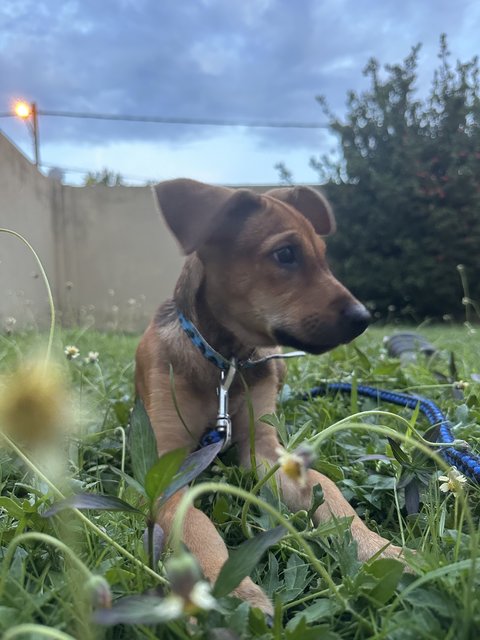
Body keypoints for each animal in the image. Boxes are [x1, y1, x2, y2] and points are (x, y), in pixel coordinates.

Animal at [134, 180, 402, 616]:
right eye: (286, 254)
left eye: (323, 256)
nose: (365, 319)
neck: (222, 359)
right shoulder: (166, 471)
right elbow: (196, 524)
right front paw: (230, 589)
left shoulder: (263, 452)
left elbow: (330, 493)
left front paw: (381, 550)